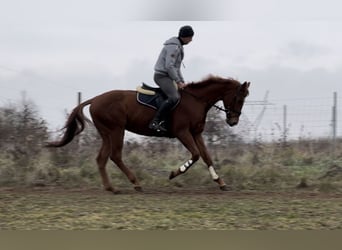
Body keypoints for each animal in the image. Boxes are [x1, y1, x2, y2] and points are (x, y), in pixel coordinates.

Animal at [46, 76, 250, 193]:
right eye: (238, 98)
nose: (233, 121)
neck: (195, 100)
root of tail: (95, 99)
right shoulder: (182, 132)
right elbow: (195, 155)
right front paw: (174, 173)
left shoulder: (196, 133)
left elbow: (207, 157)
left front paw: (220, 182)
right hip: (116, 130)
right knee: (115, 156)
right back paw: (135, 183)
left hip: (106, 133)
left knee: (101, 158)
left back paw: (111, 188)